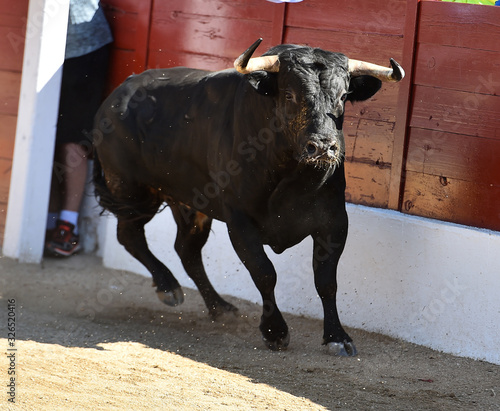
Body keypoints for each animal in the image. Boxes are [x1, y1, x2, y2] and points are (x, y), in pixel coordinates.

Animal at [94, 39, 404, 358]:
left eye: (343, 96)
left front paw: (337, 337)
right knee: (129, 235)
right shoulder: (240, 221)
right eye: (290, 94)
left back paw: (220, 307)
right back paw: (168, 287)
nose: (322, 147)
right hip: (131, 191)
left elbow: (326, 280)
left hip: (190, 205)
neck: (293, 173)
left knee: (186, 250)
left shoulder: (334, 221)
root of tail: (116, 96)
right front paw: (275, 332)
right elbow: (264, 272)